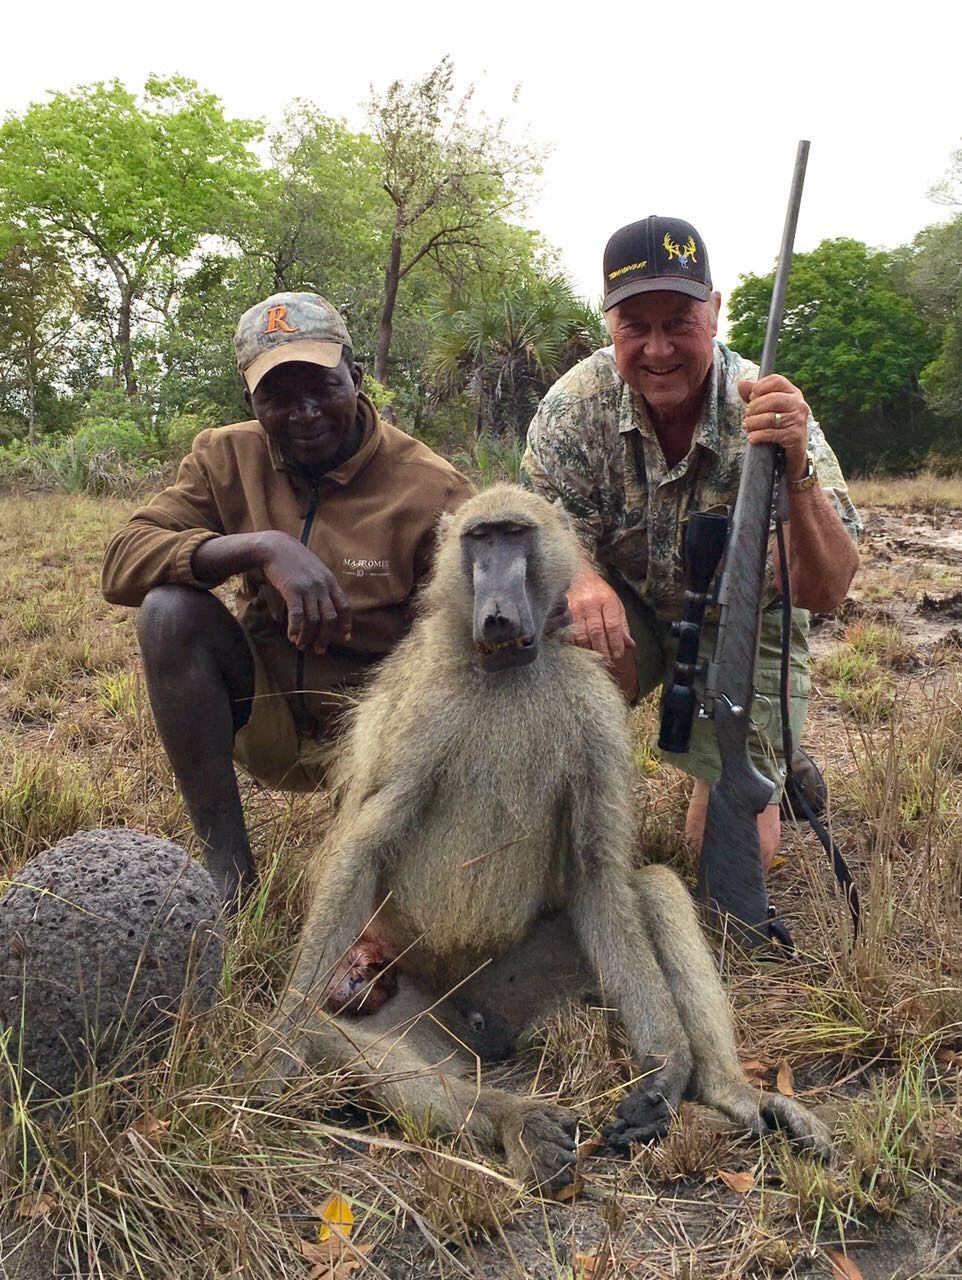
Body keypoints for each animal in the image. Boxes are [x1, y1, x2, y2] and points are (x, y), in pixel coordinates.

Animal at [257, 485, 831, 1192]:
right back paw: (520, 1123)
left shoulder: (593, 709)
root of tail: (478, 1027)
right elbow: (364, 848)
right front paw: (273, 1046)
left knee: (651, 888)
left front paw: (665, 1066)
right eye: (479, 539)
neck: (506, 671)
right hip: (395, 990)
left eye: (514, 535)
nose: (499, 614)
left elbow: (599, 871)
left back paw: (734, 1095)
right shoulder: (422, 712)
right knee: (341, 1037)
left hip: (541, 980)